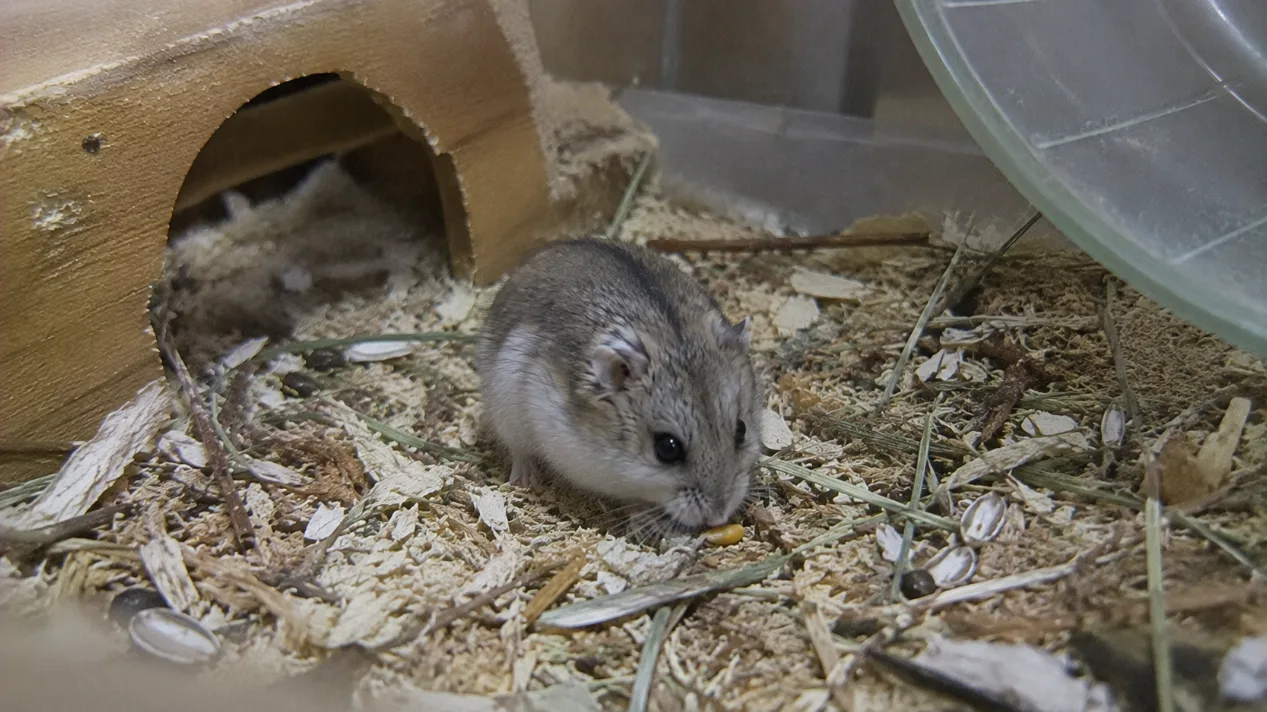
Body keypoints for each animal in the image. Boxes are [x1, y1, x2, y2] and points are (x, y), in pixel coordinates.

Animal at [475, 237, 764, 534]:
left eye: (741, 430)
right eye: (667, 448)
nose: (719, 516)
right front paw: (646, 518)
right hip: (504, 408)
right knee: (518, 449)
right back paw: (524, 480)